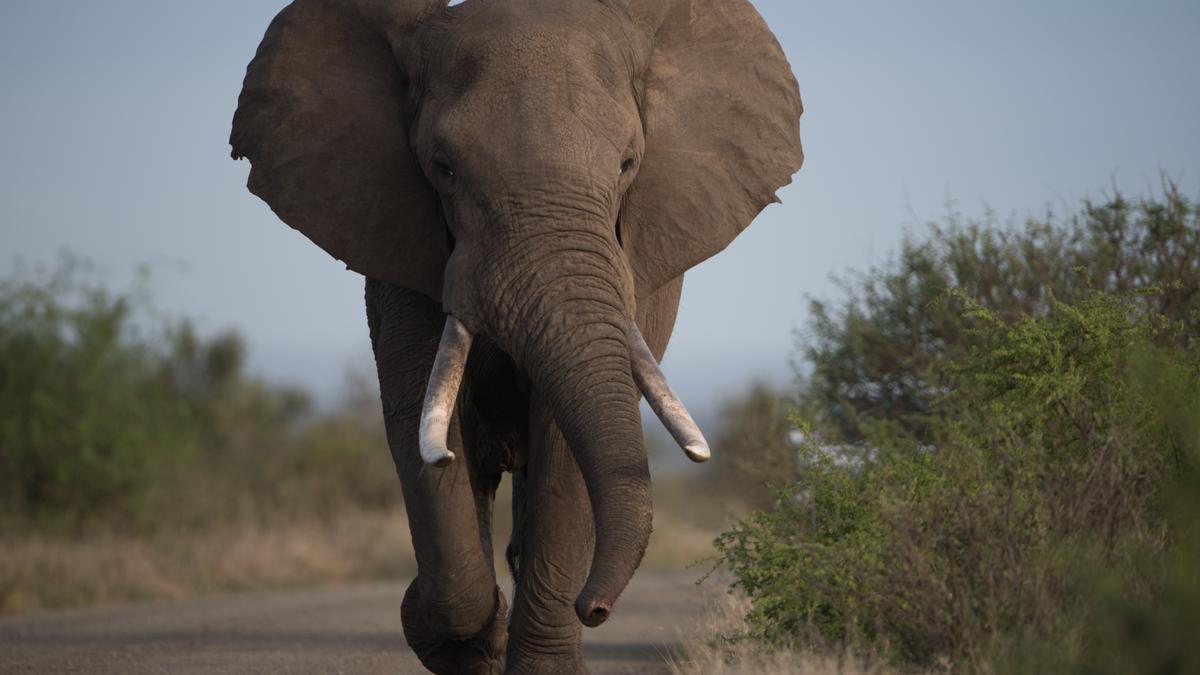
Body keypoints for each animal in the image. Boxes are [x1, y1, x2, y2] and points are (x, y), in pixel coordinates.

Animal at [229, 0, 801, 667]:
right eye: (443, 168)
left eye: (628, 164)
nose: (596, 608)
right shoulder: (401, 244)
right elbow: (419, 421)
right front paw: (457, 631)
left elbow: (563, 440)